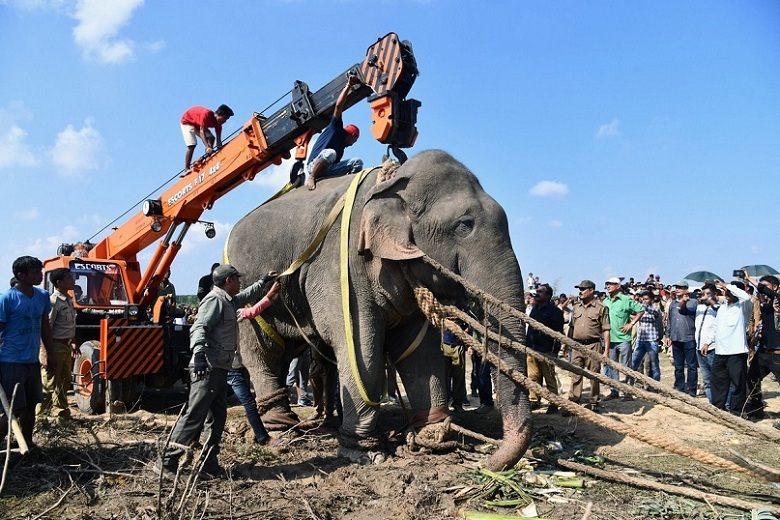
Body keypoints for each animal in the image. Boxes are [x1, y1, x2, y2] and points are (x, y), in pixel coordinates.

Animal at [225, 148, 532, 470]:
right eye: (464, 225)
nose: (487, 464)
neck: (393, 182)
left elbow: (419, 351)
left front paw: (433, 438)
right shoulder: (343, 267)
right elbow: (362, 348)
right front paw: (366, 452)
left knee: (288, 353)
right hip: (247, 295)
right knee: (263, 351)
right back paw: (282, 429)